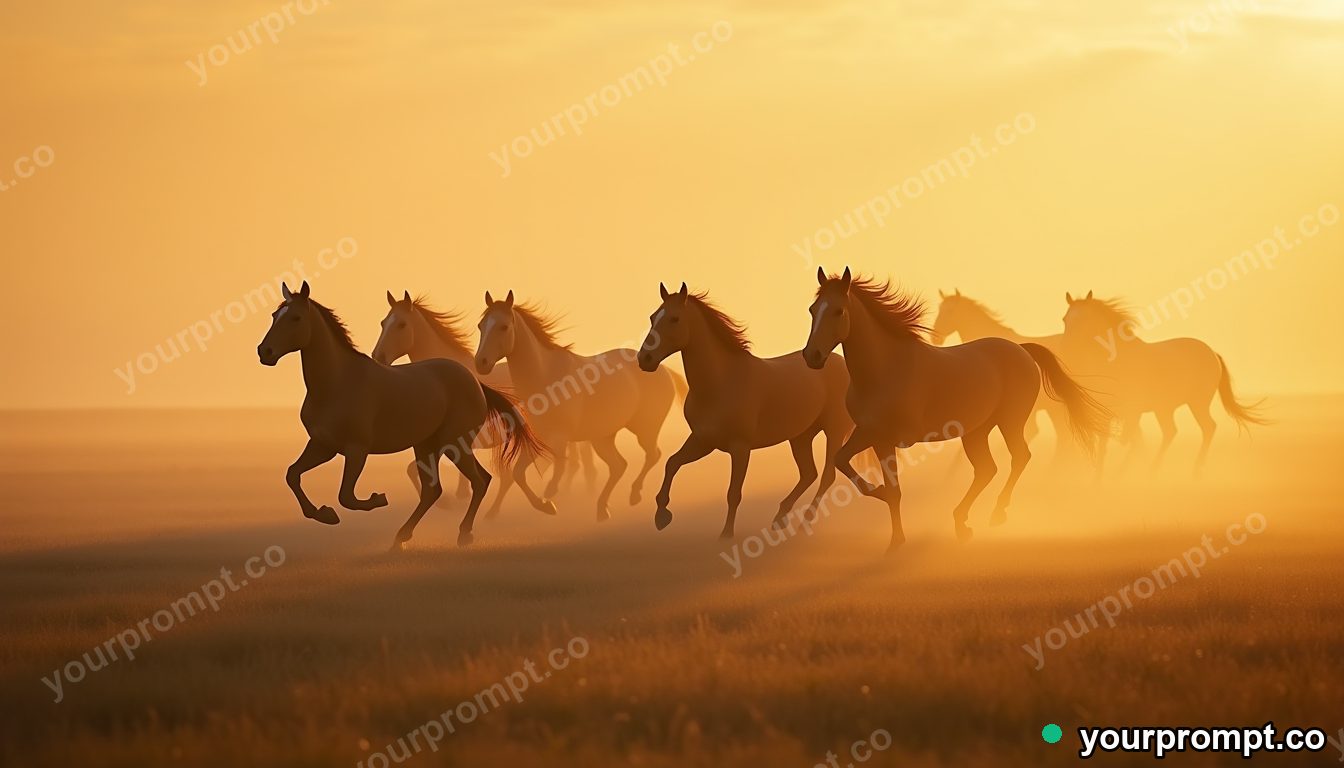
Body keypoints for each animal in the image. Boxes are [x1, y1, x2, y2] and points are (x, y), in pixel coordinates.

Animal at [257, 281, 545, 549]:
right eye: (274, 315)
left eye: (296, 318)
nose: (265, 352)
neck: (337, 382)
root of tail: (475, 381)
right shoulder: (322, 445)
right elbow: (292, 474)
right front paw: (324, 514)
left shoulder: (356, 449)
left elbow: (346, 497)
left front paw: (375, 499)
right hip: (427, 445)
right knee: (435, 490)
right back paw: (402, 537)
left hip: (455, 444)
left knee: (479, 480)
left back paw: (464, 534)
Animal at [475, 290, 686, 521]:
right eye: (481, 326)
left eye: (503, 326)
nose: (481, 363)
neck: (545, 376)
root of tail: (665, 370)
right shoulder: (539, 438)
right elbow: (518, 473)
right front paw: (546, 505)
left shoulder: (558, 438)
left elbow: (558, 464)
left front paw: (550, 493)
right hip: (602, 438)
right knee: (619, 466)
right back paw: (602, 509)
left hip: (645, 429)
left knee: (652, 455)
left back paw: (634, 494)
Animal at [637, 283, 853, 539]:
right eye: (653, 317)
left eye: (674, 318)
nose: (645, 359)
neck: (720, 383)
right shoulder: (702, 441)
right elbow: (672, 463)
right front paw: (662, 516)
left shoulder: (740, 447)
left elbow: (734, 492)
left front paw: (726, 535)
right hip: (800, 437)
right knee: (809, 473)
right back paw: (779, 519)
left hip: (834, 431)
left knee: (826, 476)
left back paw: (802, 524)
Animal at [1060, 291, 1267, 474]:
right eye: (1065, 319)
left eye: (1084, 320)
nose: (1067, 348)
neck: (1115, 361)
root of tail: (1212, 353)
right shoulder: (1113, 411)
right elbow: (1115, 443)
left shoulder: (1130, 411)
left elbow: (1129, 440)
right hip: (1164, 408)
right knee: (1171, 432)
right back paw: (1154, 470)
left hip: (1197, 403)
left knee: (1207, 428)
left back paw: (1194, 470)